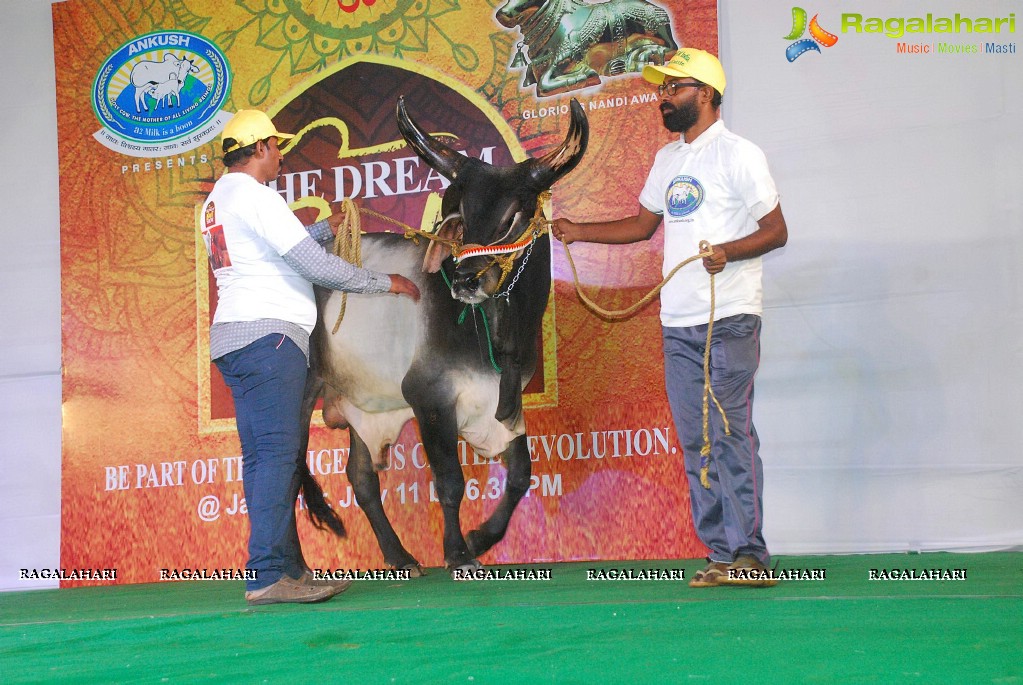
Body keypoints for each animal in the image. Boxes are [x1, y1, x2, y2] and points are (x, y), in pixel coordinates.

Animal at [292, 96, 589, 576]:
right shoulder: (430, 397)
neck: (499, 332)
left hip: (363, 402)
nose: (466, 278)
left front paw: (482, 537)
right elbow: (450, 481)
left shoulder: (506, 404)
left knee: (361, 478)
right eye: (460, 216)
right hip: (299, 394)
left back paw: (399, 556)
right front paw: (458, 551)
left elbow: (521, 474)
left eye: (513, 214)